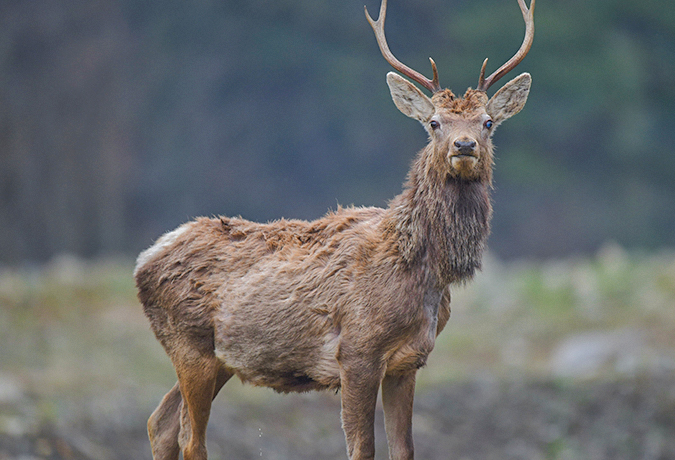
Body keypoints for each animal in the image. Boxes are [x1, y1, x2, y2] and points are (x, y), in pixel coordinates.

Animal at [135, 0, 536, 460]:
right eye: (434, 122)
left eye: (487, 121)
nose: (464, 145)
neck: (422, 271)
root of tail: (145, 258)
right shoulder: (356, 352)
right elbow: (362, 448)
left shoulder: (408, 361)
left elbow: (404, 449)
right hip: (190, 344)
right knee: (190, 438)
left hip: (221, 358)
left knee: (161, 423)